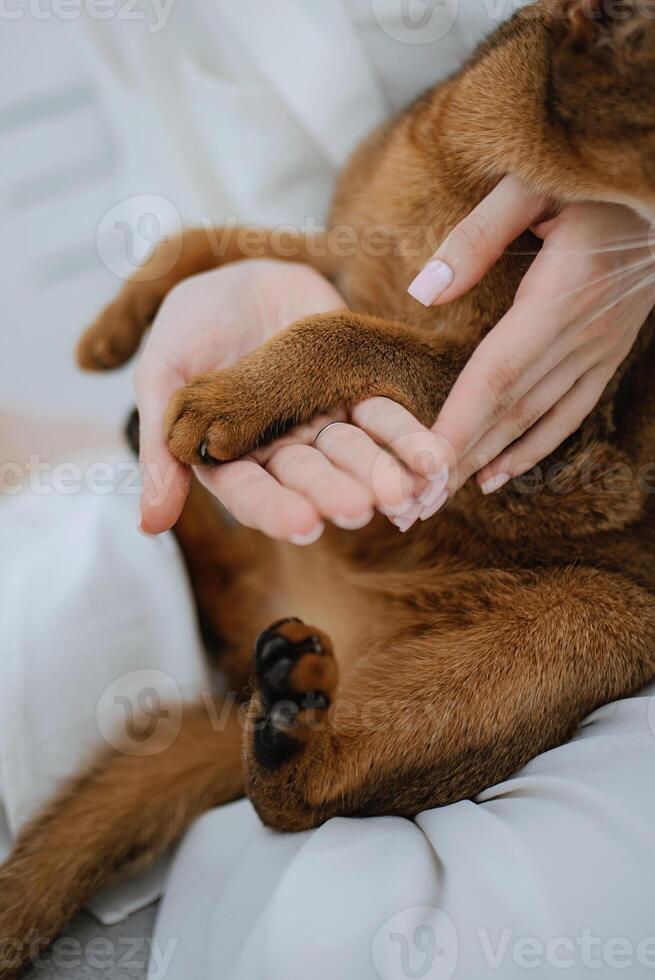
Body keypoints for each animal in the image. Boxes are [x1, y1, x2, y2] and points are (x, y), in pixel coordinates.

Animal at [1, 1, 655, 972]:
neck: (469, 165)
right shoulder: (345, 254)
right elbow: (234, 240)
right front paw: (115, 328)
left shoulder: (560, 436)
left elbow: (348, 330)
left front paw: (226, 398)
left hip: (590, 625)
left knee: (294, 808)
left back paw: (290, 730)